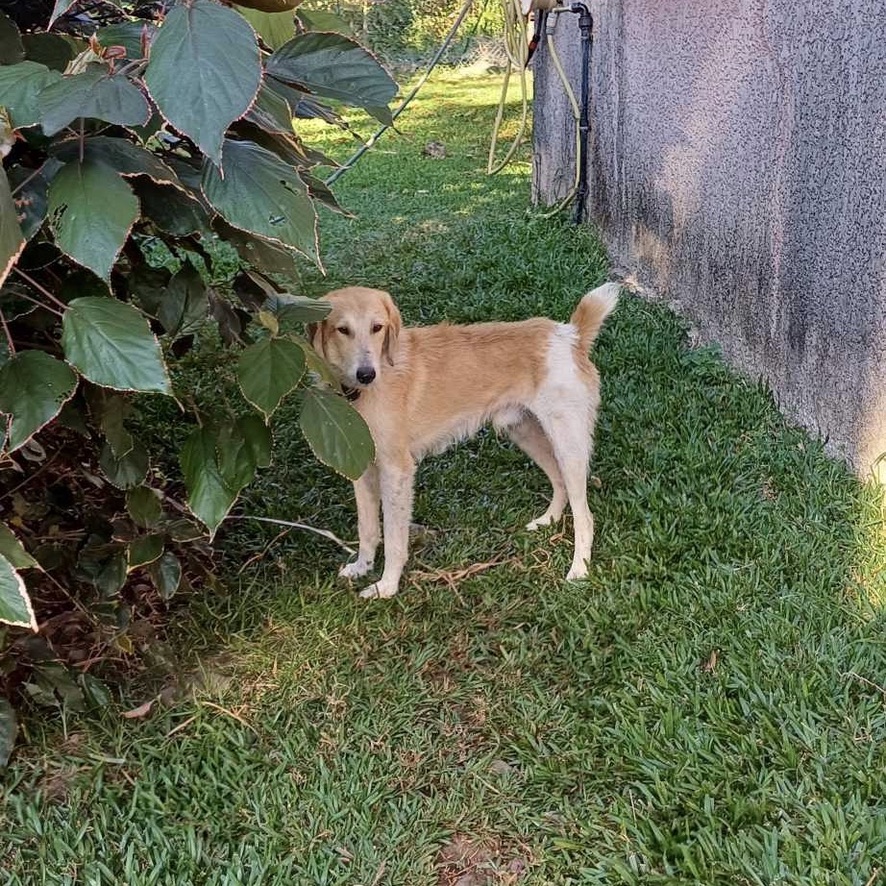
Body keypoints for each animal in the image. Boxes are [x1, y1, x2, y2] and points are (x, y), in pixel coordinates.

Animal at [308, 284, 620, 604]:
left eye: (377, 327)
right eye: (342, 330)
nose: (366, 374)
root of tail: (570, 335)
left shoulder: (397, 470)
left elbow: (394, 538)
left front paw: (387, 586)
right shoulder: (360, 465)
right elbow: (368, 529)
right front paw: (362, 567)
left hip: (568, 444)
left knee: (585, 517)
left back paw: (579, 570)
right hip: (524, 432)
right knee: (559, 482)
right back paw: (549, 520)